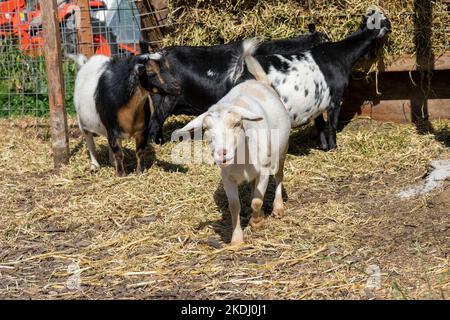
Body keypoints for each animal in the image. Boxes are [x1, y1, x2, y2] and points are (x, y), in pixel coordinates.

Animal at [174, 48, 290, 244]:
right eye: (206, 128)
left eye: (237, 124)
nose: (222, 154)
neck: (241, 158)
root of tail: (260, 82)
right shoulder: (227, 177)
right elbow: (234, 205)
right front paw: (236, 239)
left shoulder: (264, 170)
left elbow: (257, 201)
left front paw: (257, 222)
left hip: (281, 151)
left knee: (279, 176)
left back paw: (278, 207)